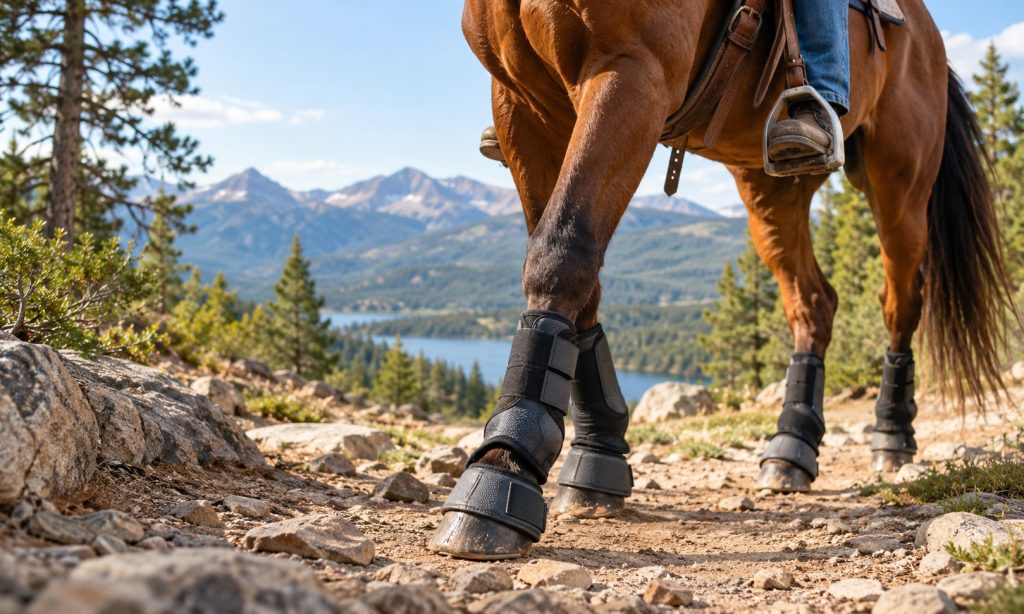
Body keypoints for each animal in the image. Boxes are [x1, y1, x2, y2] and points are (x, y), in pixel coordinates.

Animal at [427, 0, 1019, 560]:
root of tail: (932, 41)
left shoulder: (630, 76)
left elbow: (562, 251)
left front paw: (503, 469)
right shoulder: (521, 103)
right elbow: (580, 275)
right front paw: (597, 453)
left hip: (900, 186)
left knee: (900, 303)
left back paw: (892, 436)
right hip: (773, 187)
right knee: (813, 303)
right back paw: (791, 446)